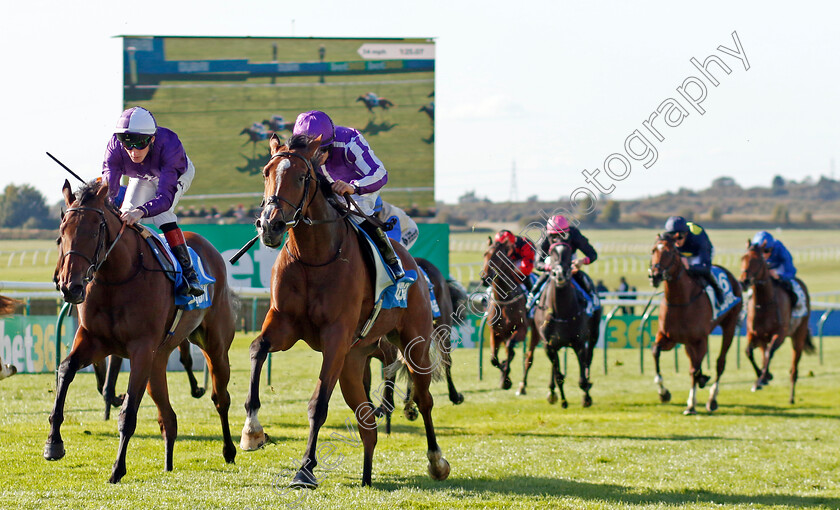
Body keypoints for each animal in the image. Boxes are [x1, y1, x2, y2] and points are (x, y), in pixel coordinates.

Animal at [46, 181, 238, 484]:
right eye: (61, 235)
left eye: (93, 232)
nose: (69, 287)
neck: (117, 276)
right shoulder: (93, 341)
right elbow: (65, 370)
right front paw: (54, 443)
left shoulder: (141, 349)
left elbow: (129, 413)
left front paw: (117, 469)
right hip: (158, 359)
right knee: (168, 416)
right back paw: (168, 464)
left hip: (214, 346)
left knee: (221, 398)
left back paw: (229, 450)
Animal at [240, 133, 450, 488]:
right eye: (266, 172)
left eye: (302, 176)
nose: (270, 225)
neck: (313, 257)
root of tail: (416, 270)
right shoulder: (283, 325)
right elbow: (257, 349)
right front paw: (252, 431)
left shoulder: (336, 338)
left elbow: (318, 404)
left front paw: (305, 469)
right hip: (353, 361)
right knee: (367, 423)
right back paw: (366, 478)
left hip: (413, 343)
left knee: (423, 399)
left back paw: (436, 461)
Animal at [648, 235, 740, 414]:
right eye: (653, 250)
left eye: (670, 252)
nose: (655, 275)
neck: (680, 301)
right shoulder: (668, 338)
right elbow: (656, 352)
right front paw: (663, 393)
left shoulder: (699, 340)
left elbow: (694, 370)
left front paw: (691, 404)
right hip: (687, 343)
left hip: (729, 326)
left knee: (720, 362)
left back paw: (712, 399)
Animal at [740, 241, 812, 400]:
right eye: (742, 258)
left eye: (758, 261)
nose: (743, 281)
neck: (764, 303)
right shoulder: (753, 333)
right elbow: (749, 352)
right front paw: (762, 377)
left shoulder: (780, 333)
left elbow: (770, 352)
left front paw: (762, 378)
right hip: (762, 338)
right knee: (762, 353)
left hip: (799, 334)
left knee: (793, 368)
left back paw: (791, 397)